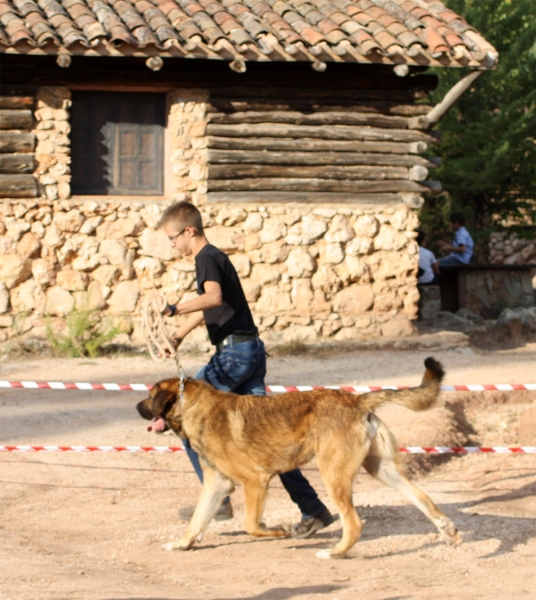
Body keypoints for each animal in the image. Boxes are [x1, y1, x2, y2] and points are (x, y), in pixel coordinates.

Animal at [136, 356, 458, 556]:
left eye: (150, 397)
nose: (136, 408)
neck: (193, 406)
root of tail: (356, 400)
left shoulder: (256, 482)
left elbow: (252, 526)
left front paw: (280, 531)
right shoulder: (218, 484)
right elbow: (197, 520)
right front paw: (182, 544)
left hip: (334, 476)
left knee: (353, 524)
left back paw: (335, 553)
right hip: (382, 469)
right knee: (422, 498)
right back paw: (448, 531)